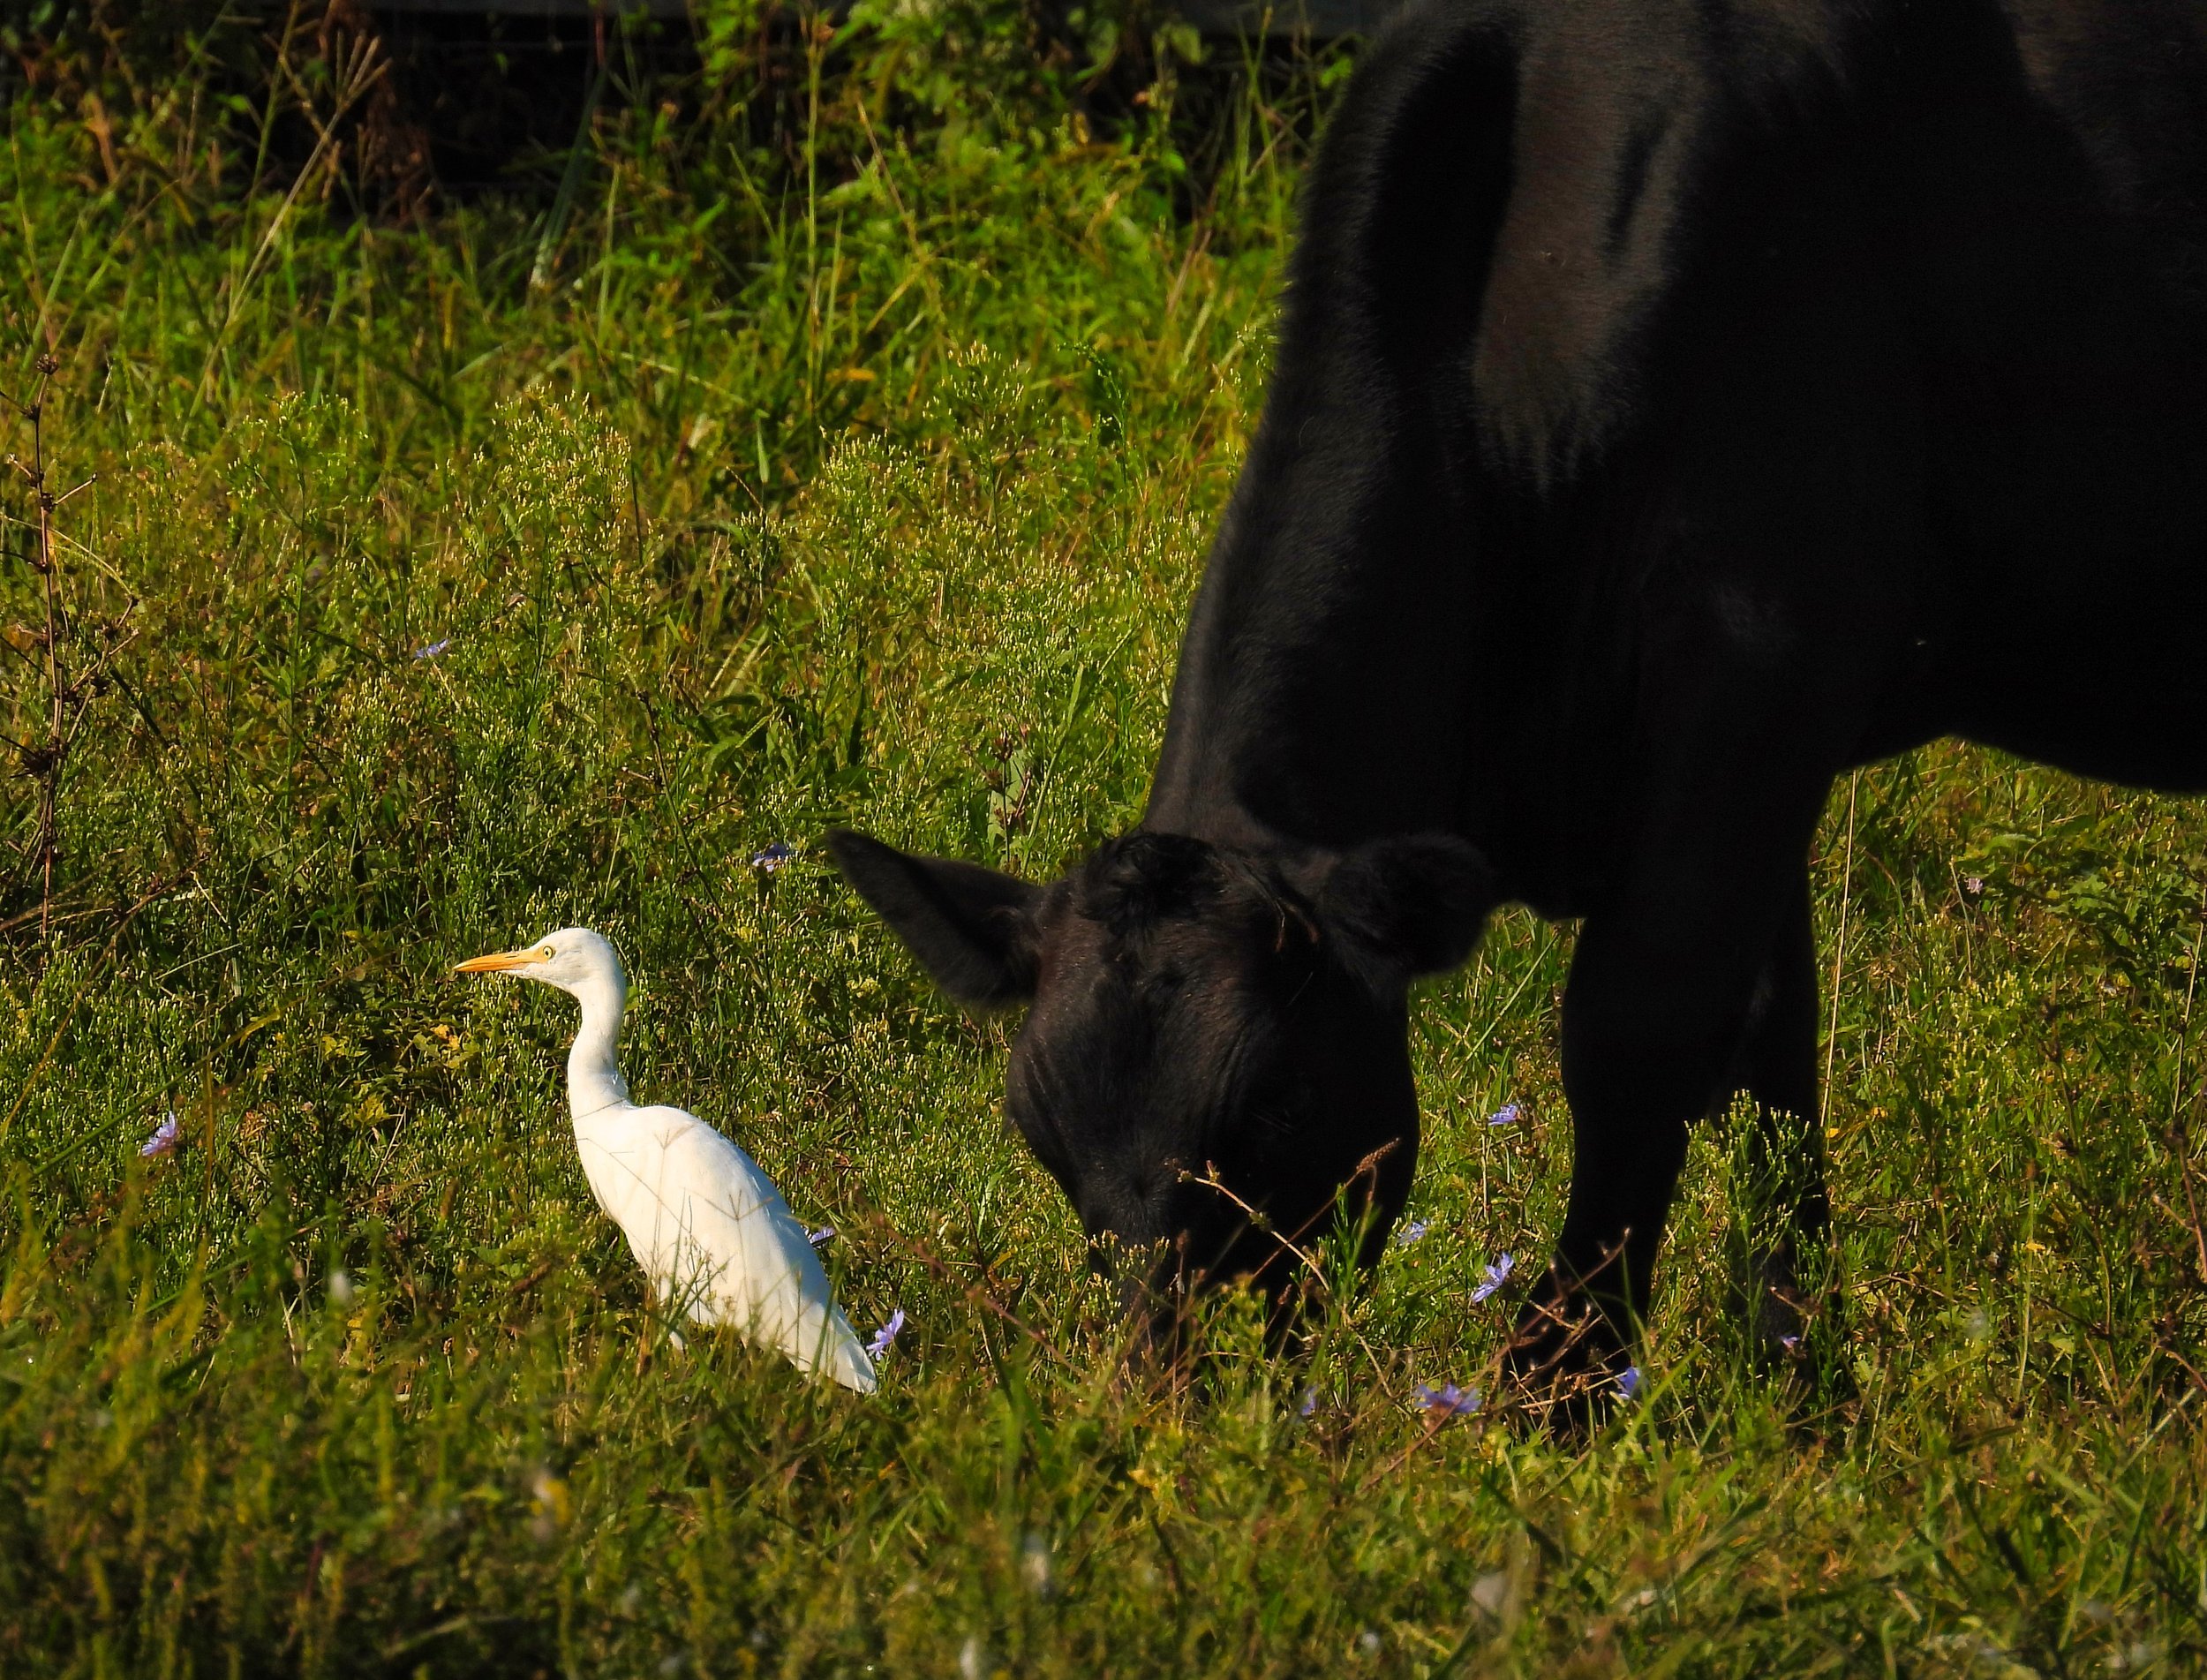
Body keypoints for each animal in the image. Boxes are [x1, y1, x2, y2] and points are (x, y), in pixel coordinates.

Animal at [830, 0, 2207, 1403]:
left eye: (1273, 1106)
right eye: (1042, 1133)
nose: (1174, 1391)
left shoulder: (1765, 663)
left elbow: (1639, 1033)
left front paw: (1556, 1393)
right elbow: (1776, 1062)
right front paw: (1799, 1395)